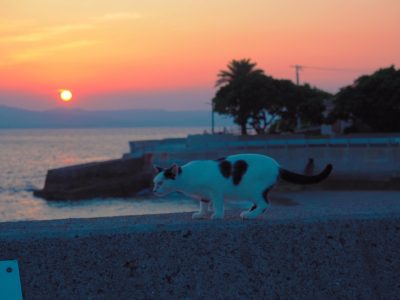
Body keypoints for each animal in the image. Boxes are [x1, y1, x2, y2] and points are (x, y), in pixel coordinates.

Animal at [152, 154, 332, 219]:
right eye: (154, 183)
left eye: (160, 183)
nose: (154, 190)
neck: (188, 176)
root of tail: (277, 165)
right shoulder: (204, 194)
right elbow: (203, 204)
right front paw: (201, 214)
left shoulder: (216, 191)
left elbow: (217, 204)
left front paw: (217, 215)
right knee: (258, 203)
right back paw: (248, 212)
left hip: (255, 189)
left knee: (265, 203)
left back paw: (251, 215)